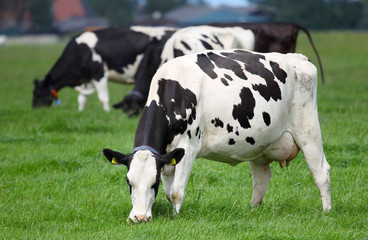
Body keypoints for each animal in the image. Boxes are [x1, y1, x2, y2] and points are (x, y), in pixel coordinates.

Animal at [31, 25, 175, 112]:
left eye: (38, 93)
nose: (34, 110)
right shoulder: (86, 79)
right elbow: (81, 100)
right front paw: (81, 112)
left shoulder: (99, 74)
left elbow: (103, 99)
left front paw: (107, 113)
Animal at [103, 49, 330, 223]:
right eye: (128, 181)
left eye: (153, 182)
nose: (140, 218)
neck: (174, 92)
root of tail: (298, 58)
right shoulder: (168, 156)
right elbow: (168, 193)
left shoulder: (188, 147)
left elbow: (176, 192)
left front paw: (176, 218)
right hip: (260, 144)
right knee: (262, 179)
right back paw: (252, 210)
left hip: (308, 129)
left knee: (321, 172)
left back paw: (326, 211)